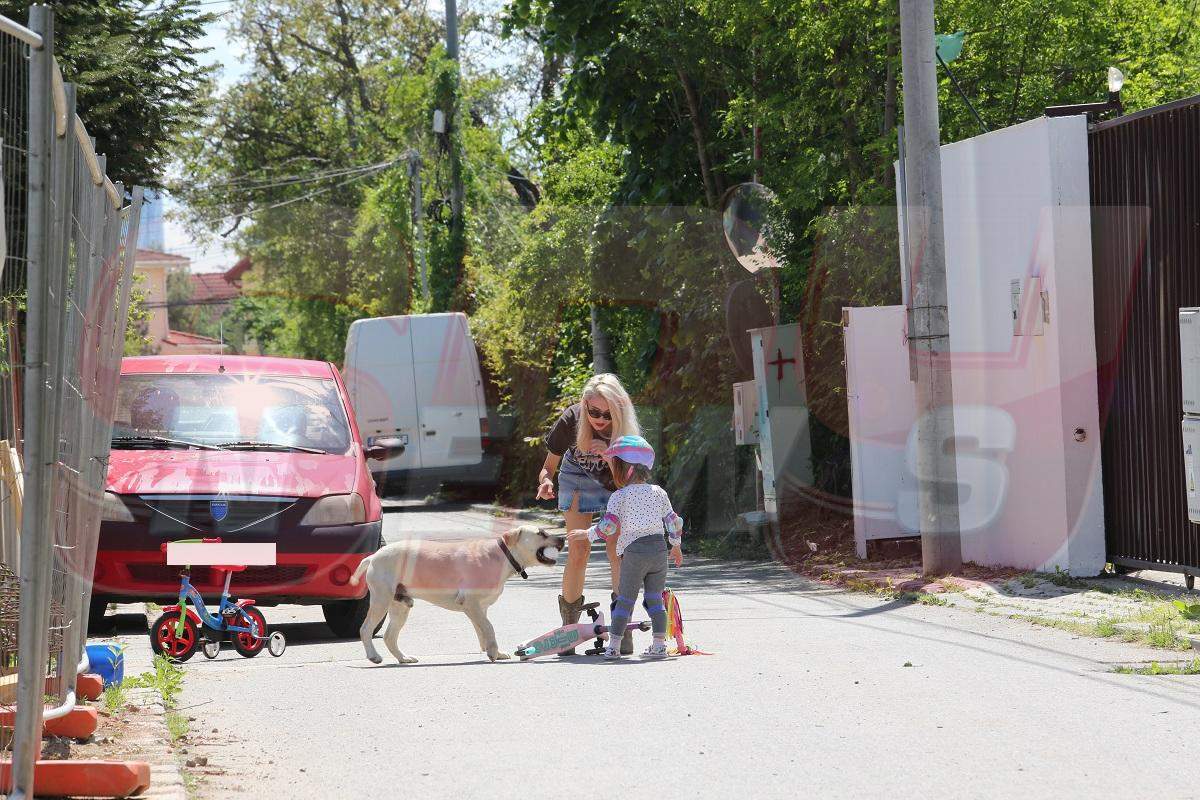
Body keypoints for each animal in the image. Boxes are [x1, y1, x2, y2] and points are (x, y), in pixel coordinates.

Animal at [350, 525, 564, 662]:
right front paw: (493, 651)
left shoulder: (480, 608)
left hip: (400, 606)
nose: (562, 538)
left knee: (389, 637)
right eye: (541, 533)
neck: (503, 556)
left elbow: (482, 630)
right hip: (381, 601)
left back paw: (403, 658)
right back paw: (373, 656)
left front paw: (493, 651)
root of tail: (373, 556)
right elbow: (489, 627)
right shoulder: (471, 604)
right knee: (365, 629)